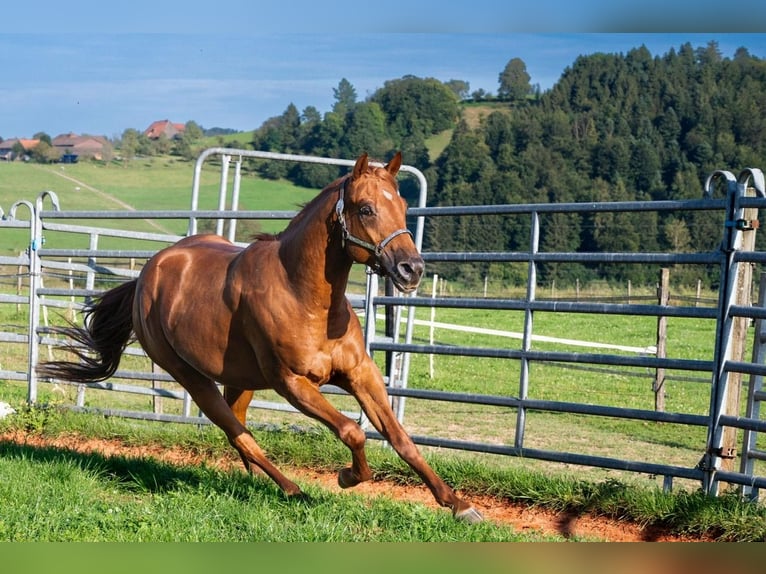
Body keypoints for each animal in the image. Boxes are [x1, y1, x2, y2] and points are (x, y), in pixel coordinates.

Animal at [39, 154, 484, 528]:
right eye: (366, 208)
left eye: (404, 206)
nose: (412, 269)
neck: (305, 297)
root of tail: (148, 275)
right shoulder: (292, 383)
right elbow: (351, 431)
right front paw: (348, 477)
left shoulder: (360, 373)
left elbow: (400, 438)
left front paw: (460, 506)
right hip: (191, 378)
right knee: (240, 434)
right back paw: (292, 490)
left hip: (240, 380)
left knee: (239, 431)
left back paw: (256, 481)